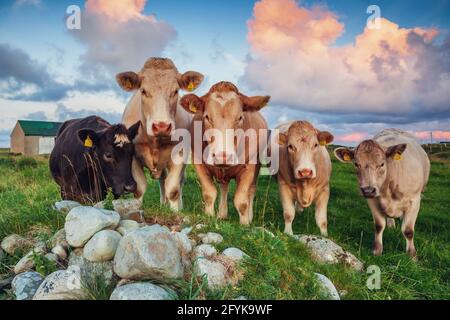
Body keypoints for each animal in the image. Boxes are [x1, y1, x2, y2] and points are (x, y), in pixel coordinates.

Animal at [179, 81, 270, 225]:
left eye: (240, 117)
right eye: (207, 117)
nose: (223, 157)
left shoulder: (249, 166)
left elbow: (241, 200)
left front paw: (245, 224)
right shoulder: (198, 162)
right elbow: (209, 193)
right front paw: (209, 216)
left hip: (259, 162)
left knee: (251, 190)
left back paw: (249, 216)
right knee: (224, 187)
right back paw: (222, 214)